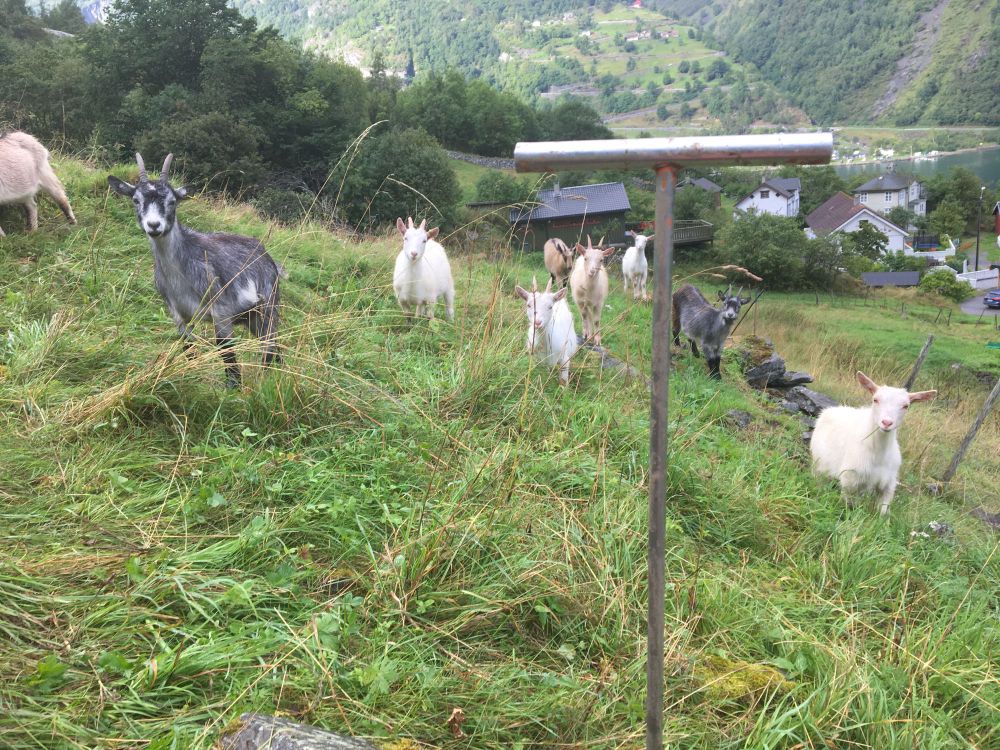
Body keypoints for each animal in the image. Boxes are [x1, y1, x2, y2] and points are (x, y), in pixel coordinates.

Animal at [108, 153, 283, 388]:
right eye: (136, 200)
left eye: (172, 201)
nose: (154, 226)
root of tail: (267, 257)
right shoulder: (179, 315)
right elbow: (188, 348)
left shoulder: (221, 311)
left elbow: (226, 351)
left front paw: (233, 388)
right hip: (252, 317)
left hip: (267, 307)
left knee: (270, 345)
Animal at [810, 371, 936, 515]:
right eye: (875, 399)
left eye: (906, 406)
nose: (886, 423)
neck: (878, 455)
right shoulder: (849, 480)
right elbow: (847, 506)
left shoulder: (888, 484)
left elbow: (882, 513)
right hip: (818, 464)